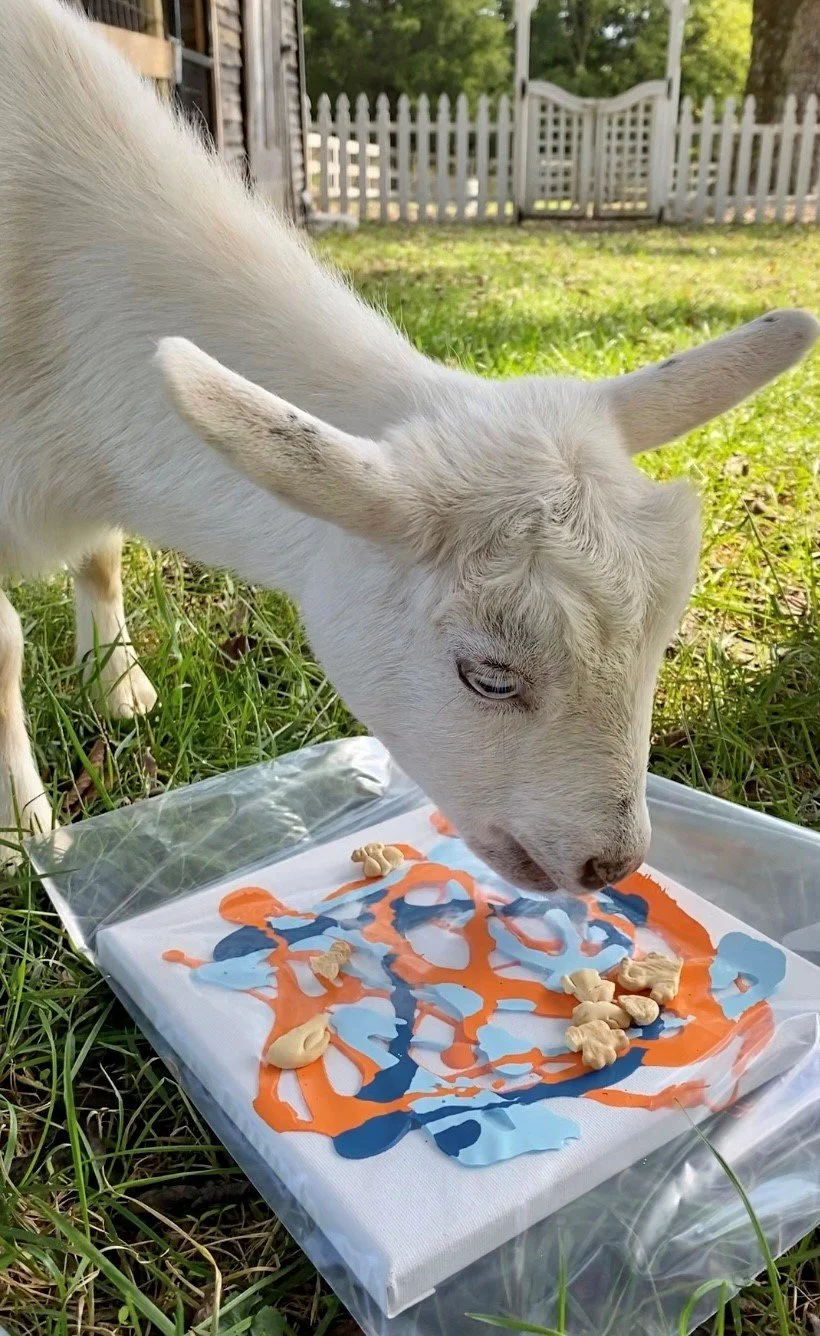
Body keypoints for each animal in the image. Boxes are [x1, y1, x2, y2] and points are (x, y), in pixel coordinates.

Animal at [0, 0, 816, 889]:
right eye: (488, 678)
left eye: (663, 644)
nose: (613, 865)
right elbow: (6, 644)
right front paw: (19, 831)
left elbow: (101, 555)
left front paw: (118, 689)